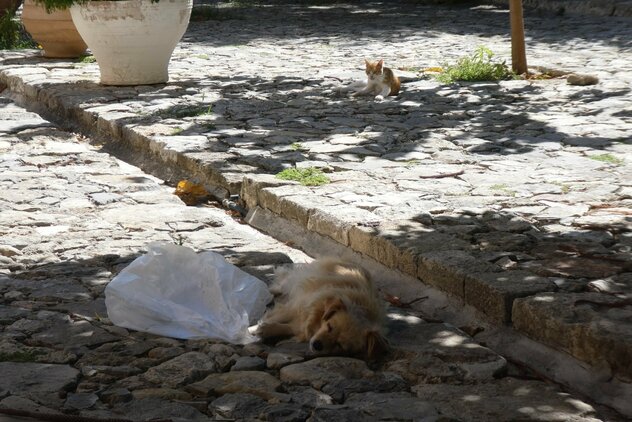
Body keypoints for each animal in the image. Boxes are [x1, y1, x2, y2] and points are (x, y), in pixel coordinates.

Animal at [256, 258, 386, 360]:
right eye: (329, 326)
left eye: (339, 345)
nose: (317, 345)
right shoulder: (294, 307)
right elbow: (276, 317)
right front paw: (255, 328)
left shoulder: (299, 324)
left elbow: (287, 327)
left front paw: (266, 329)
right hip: (303, 278)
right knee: (284, 281)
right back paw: (271, 290)